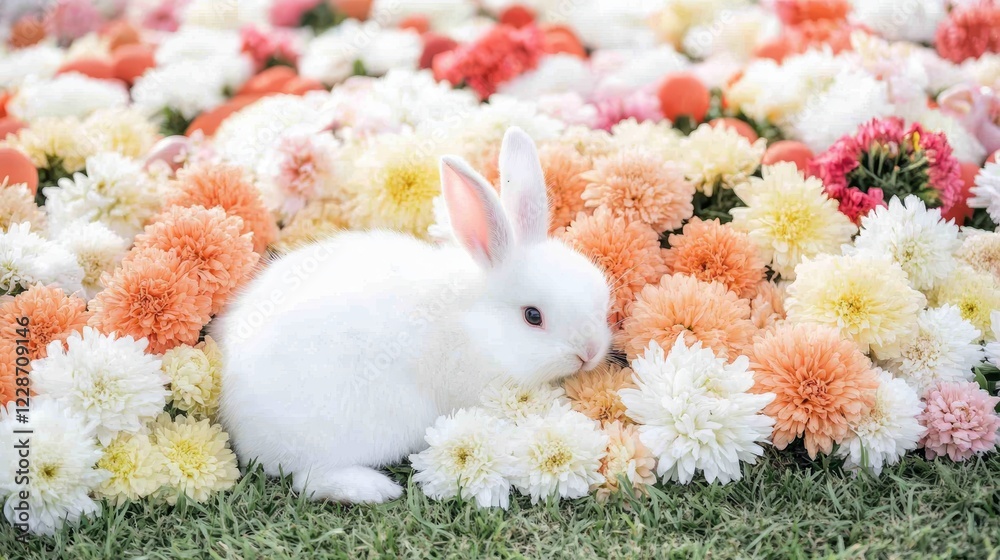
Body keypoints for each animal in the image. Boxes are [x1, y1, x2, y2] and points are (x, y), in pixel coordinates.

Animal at [210, 127, 613, 504]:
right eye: (532, 316)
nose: (589, 353)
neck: (476, 327)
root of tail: (242, 426)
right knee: (308, 479)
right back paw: (374, 489)